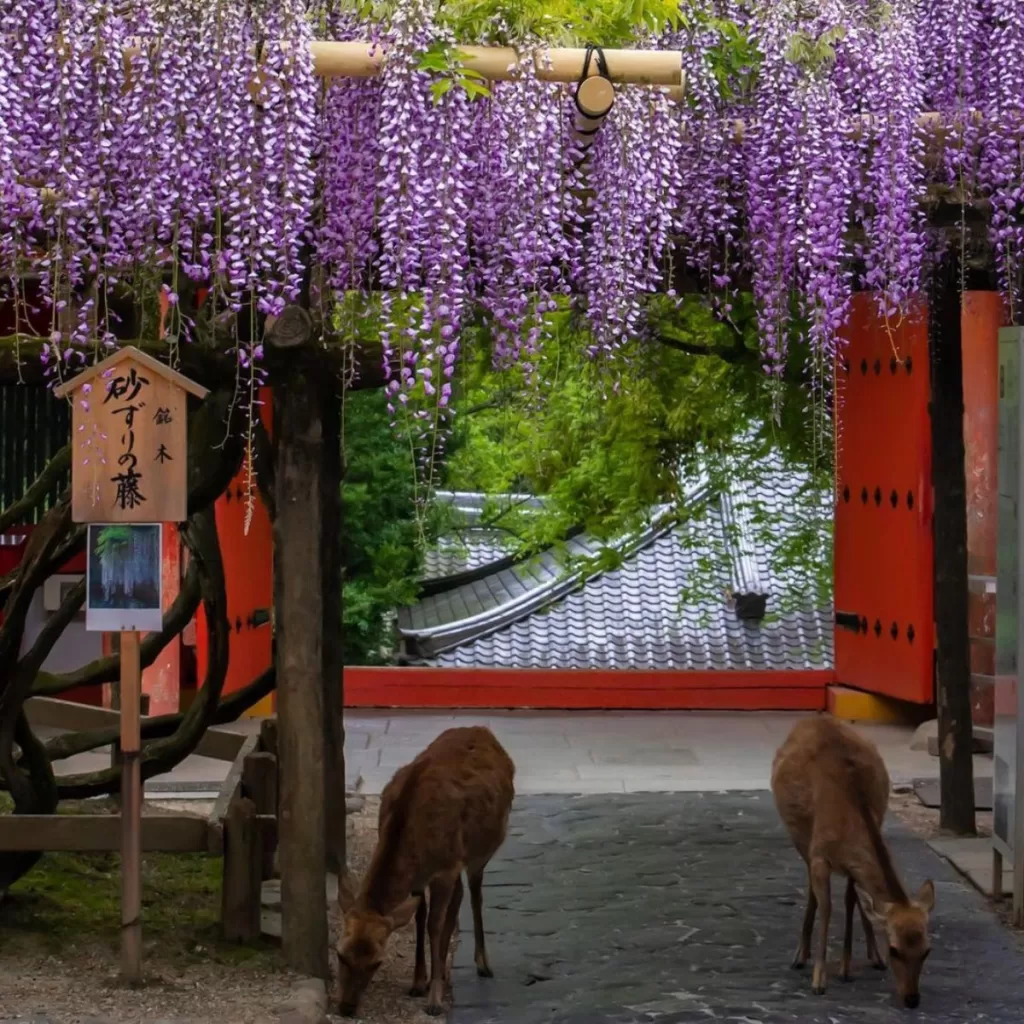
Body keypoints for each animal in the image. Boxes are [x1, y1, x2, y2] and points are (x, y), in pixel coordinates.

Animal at [337, 724, 516, 1019]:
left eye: (377, 963)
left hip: (481, 850)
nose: (346, 1008)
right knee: (458, 897)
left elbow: (434, 924)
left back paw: (481, 964)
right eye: (340, 954)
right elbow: (420, 917)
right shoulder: (421, 876)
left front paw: (434, 999)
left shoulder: (445, 868)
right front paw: (419, 982)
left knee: (475, 894)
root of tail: (482, 730)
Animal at [770, 716, 933, 1011]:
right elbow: (827, 908)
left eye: (926, 950)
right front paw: (819, 980)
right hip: (801, 840)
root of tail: (810, 718)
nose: (912, 999)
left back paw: (871, 956)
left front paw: (848, 968)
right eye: (894, 949)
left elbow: (852, 900)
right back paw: (800, 955)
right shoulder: (820, 855)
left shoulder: (854, 865)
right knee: (811, 889)